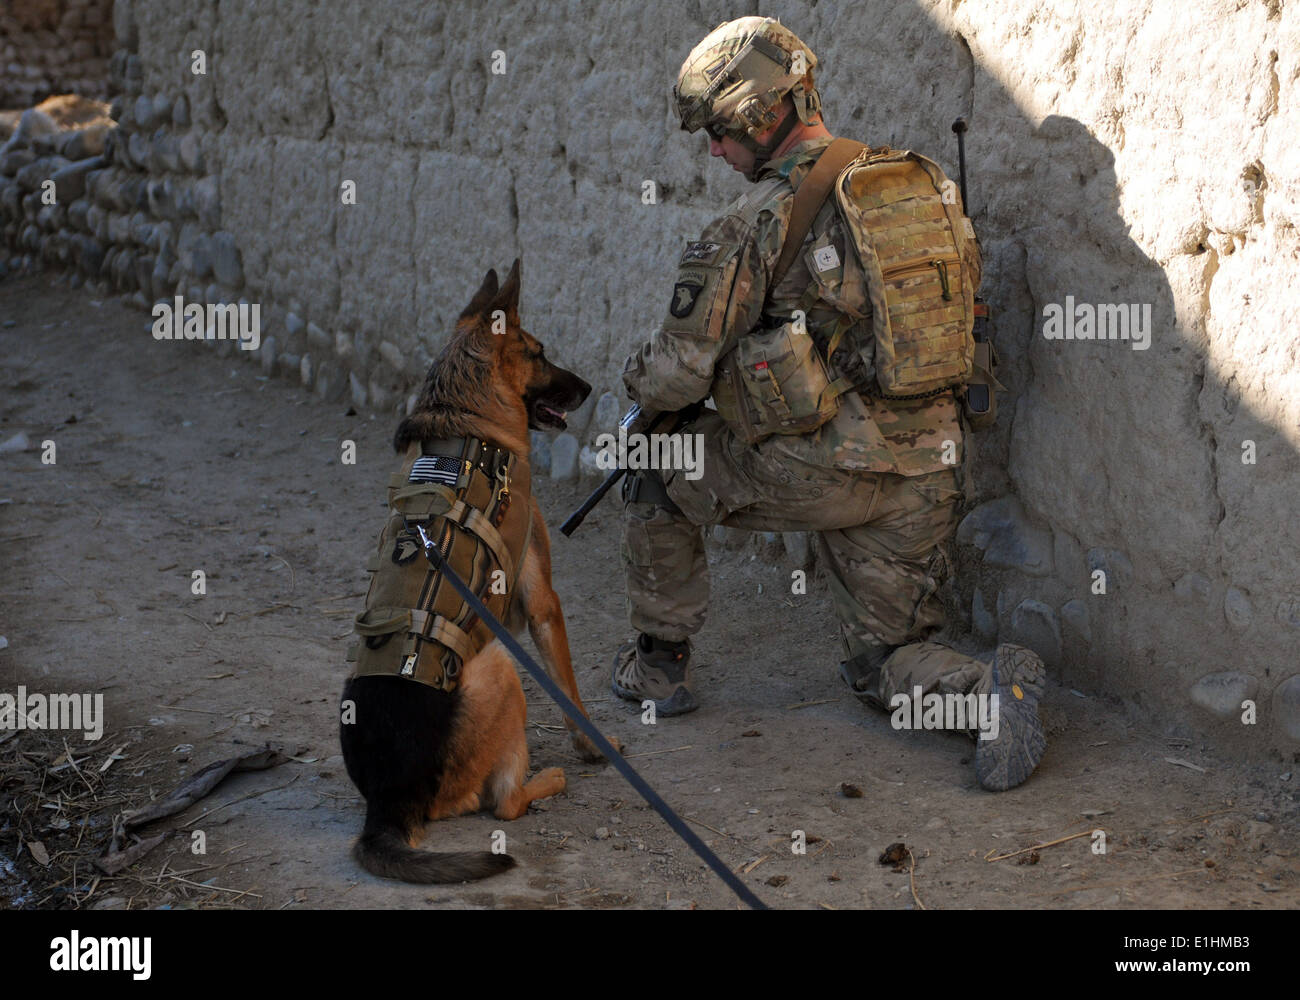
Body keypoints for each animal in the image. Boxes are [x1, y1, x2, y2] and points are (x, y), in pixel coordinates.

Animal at [338, 260, 616, 884]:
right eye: (538, 352)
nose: (589, 388)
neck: (465, 414)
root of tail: (389, 803)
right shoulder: (542, 599)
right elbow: (570, 690)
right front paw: (594, 747)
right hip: (501, 668)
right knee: (505, 804)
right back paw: (548, 780)